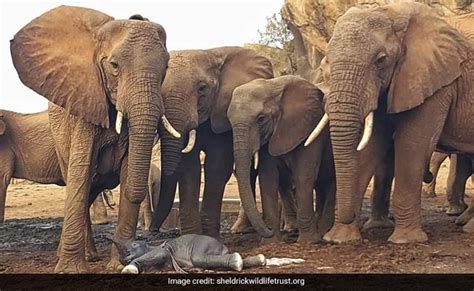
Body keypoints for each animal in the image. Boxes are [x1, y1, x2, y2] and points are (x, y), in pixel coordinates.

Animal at [10, 5, 178, 272]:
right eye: (114, 66)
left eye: (165, 69)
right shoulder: (82, 106)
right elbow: (81, 171)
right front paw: (69, 270)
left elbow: (128, 169)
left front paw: (118, 266)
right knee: (82, 184)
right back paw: (83, 257)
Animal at [112, 235, 264, 274]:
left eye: (133, 246)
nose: (124, 259)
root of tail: (223, 247)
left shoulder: (161, 250)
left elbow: (159, 254)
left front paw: (129, 269)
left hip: (203, 243)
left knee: (199, 258)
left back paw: (237, 262)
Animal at [148, 46, 274, 237]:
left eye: (202, 88)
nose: (153, 230)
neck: (211, 54)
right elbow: (189, 168)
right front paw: (193, 235)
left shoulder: (222, 113)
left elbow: (217, 166)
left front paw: (208, 236)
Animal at [228, 76, 336, 244]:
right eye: (229, 120)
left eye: (261, 119)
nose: (268, 230)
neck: (272, 86)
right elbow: (268, 178)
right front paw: (271, 242)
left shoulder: (309, 127)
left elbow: (303, 176)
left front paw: (308, 242)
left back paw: (324, 233)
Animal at [306, 2, 472, 244]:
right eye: (326, 60)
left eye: (381, 60)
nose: (348, 215)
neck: (393, 11)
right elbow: (371, 146)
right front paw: (340, 238)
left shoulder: (435, 80)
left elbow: (413, 144)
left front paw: (405, 240)